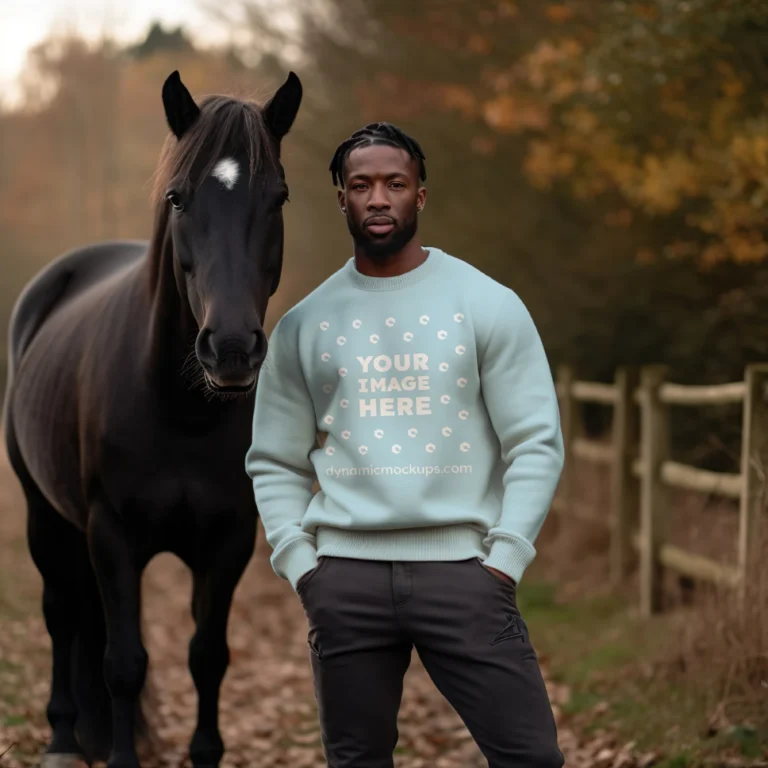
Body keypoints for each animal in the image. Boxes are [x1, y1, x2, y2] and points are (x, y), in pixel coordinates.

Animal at [3, 69, 304, 764]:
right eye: (177, 198)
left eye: (278, 198)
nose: (231, 347)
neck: (180, 411)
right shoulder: (112, 536)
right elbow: (124, 663)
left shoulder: (228, 542)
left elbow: (207, 657)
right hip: (44, 516)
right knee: (62, 614)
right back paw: (63, 738)